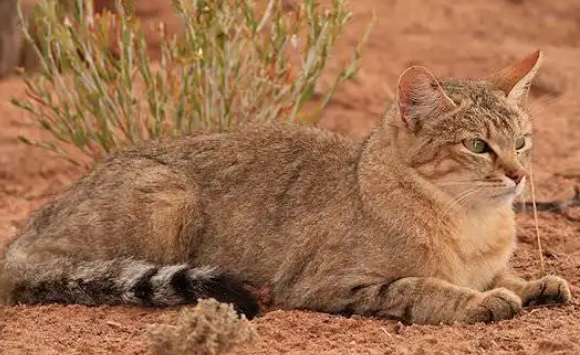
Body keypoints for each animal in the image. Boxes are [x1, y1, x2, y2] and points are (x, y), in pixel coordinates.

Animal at [0, 50, 572, 326]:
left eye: (521, 142)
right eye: (477, 146)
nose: (519, 176)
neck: (471, 224)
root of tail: (24, 235)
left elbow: (506, 275)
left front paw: (533, 283)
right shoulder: (327, 284)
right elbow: (419, 287)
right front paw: (480, 302)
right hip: (166, 195)